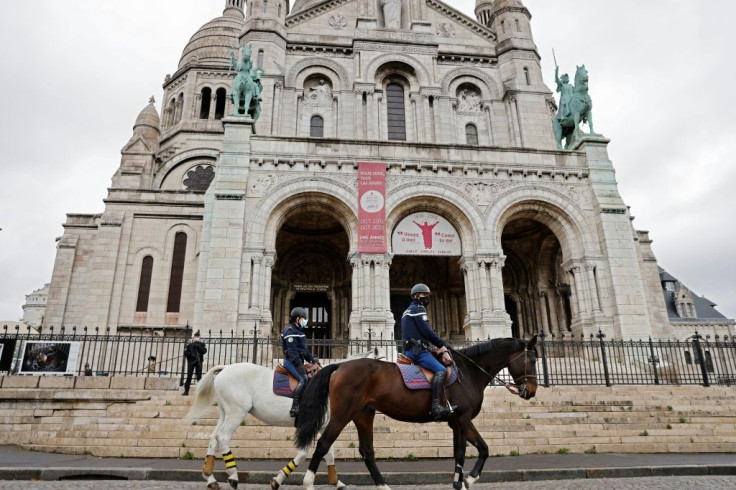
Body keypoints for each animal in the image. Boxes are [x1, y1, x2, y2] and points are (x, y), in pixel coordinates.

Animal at [188, 352, 380, 490]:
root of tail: (226, 368)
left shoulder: (325, 425)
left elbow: (328, 452)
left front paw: (336, 482)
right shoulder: (313, 425)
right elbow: (306, 453)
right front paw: (279, 479)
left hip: (225, 413)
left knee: (214, 437)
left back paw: (210, 478)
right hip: (237, 413)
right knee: (223, 437)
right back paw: (233, 476)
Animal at [294, 336, 540, 490]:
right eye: (532, 359)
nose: (531, 391)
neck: (469, 371)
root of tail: (340, 365)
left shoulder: (460, 420)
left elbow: (484, 448)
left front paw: (468, 480)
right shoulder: (461, 419)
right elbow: (460, 453)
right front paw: (459, 483)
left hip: (363, 415)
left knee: (367, 451)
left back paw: (384, 486)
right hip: (343, 414)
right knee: (323, 443)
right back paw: (307, 483)